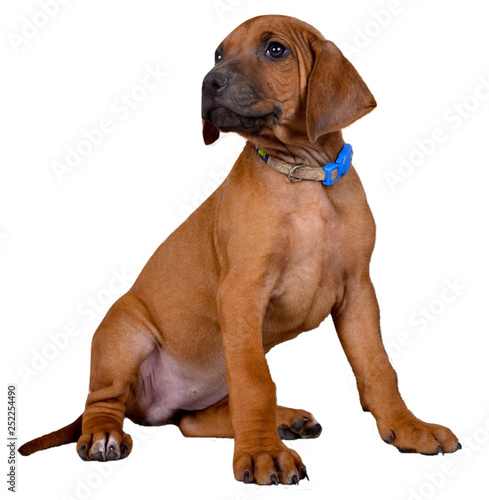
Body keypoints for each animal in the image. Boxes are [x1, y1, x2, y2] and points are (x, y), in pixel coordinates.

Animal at [21, 14, 458, 484]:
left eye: (275, 50)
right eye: (218, 54)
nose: (208, 82)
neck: (301, 174)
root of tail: (157, 406)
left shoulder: (358, 290)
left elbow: (377, 366)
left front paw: (408, 427)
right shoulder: (242, 292)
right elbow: (255, 382)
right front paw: (264, 453)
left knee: (194, 422)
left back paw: (287, 419)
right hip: (124, 331)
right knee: (102, 401)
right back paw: (105, 436)